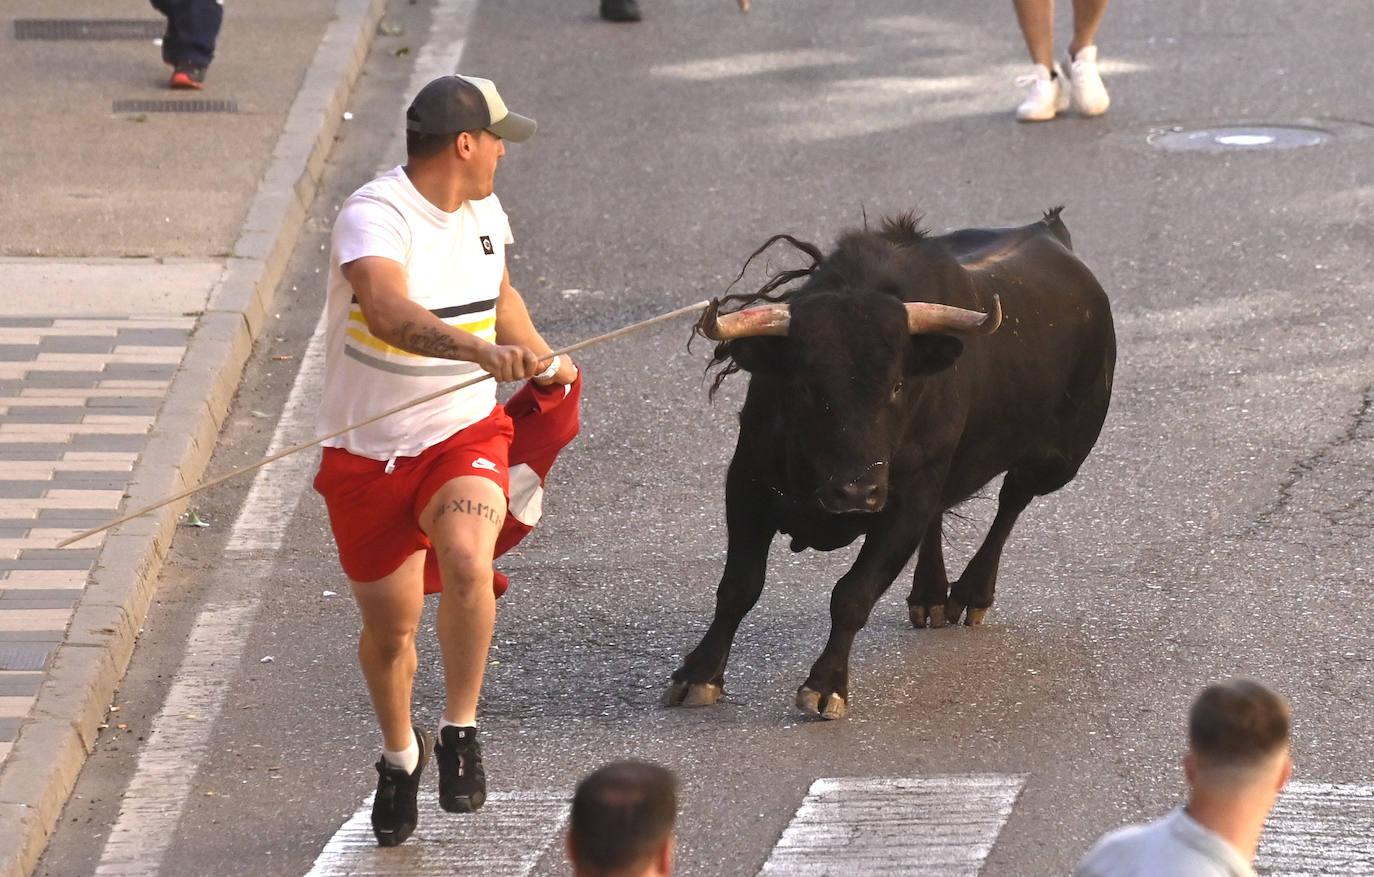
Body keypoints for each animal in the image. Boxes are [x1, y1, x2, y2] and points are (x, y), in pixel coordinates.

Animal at [665, 211, 1115, 720]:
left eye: (898, 384)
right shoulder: (748, 484)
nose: (855, 493)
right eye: (805, 386)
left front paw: (826, 686)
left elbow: (852, 595)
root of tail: (1049, 232)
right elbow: (739, 586)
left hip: (1058, 461)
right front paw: (697, 675)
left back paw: (970, 594)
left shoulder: (903, 505)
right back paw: (930, 597)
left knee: (1011, 502)